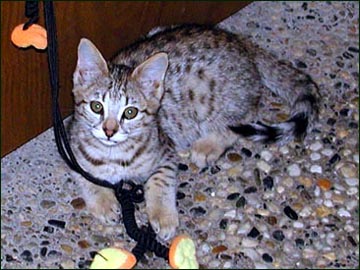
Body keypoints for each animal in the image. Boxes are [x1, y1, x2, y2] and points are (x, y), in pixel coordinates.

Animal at [69, 24, 320, 239]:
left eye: (130, 112)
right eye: (97, 107)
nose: (109, 131)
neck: (113, 155)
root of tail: (241, 43)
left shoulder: (166, 151)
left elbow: (160, 180)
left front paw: (163, 214)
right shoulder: (71, 145)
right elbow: (85, 175)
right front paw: (103, 201)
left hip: (211, 99)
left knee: (244, 116)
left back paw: (208, 145)